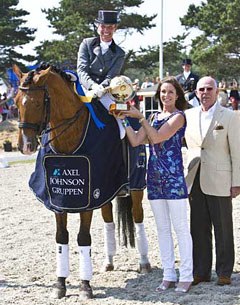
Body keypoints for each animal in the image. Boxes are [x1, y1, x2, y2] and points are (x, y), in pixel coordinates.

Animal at [13, 63, 150, 298]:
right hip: (106, 192)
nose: (26, 146)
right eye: (15, 102)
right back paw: (108, 262)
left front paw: (86, 286)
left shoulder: (88, 197)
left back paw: (144, 262)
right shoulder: (58, 199)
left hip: (135, 187)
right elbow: (61, 237)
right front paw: (60, 285)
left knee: (138, 217)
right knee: (108, 222)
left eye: (38, 102)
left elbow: (83, 238)